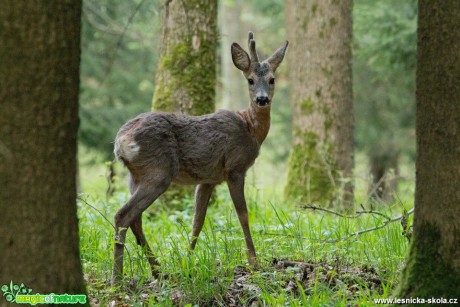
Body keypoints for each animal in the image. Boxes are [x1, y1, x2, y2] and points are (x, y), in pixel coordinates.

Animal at [112, 31, 288, 284]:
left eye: (272, 79)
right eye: (250, 80)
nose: (262, 99)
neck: (250, 129)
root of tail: (120, 142)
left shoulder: (208, 179)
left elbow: (198, 220)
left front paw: (188, 261)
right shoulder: (234, 168)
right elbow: (243, 215)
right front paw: (254, 262)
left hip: (135, 175)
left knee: (136, 218)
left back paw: (158, 270)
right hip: (158, 172)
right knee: (123, 215)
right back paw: (117, 279)